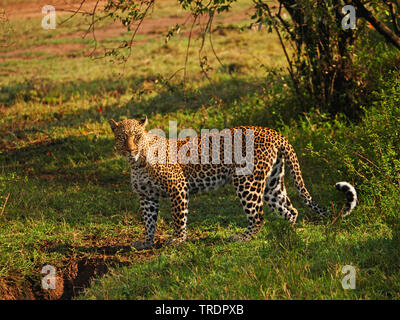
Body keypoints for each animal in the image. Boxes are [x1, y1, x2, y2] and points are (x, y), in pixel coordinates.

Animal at [108, 117, 358, 250]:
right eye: (122, 138)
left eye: (137, 136)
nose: (130, 149)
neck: (137, 163)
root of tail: (274, 132)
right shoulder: (147, 196)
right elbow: (149, 221)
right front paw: (146, 241)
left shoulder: (177, 187)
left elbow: (179, 217)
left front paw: (178, 239)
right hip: (272, 183)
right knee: (290, 209)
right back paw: (284, 233)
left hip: (246, 181)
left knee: (258, 217)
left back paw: (242, 238)